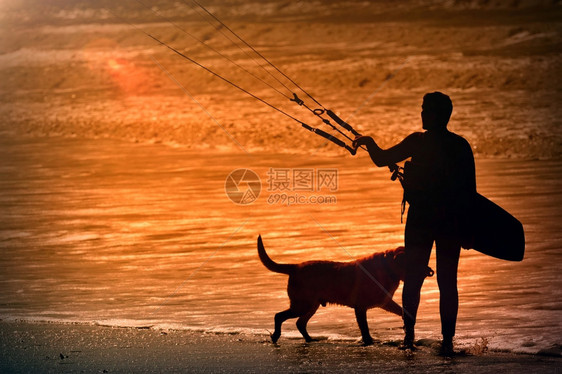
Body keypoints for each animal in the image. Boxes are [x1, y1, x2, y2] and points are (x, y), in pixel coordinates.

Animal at [258, 235, 434, 346]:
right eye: (416, 261)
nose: (430, 270)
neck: (388, 269)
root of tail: (295, 267)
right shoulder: (360, 308)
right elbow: (365, 329)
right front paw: (368, 342)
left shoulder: (385, 302)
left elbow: (403, 312)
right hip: (302, 305)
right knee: (279, 316)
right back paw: (276, 336)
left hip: (311, 306)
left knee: (300, 323)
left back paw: (309, 340)